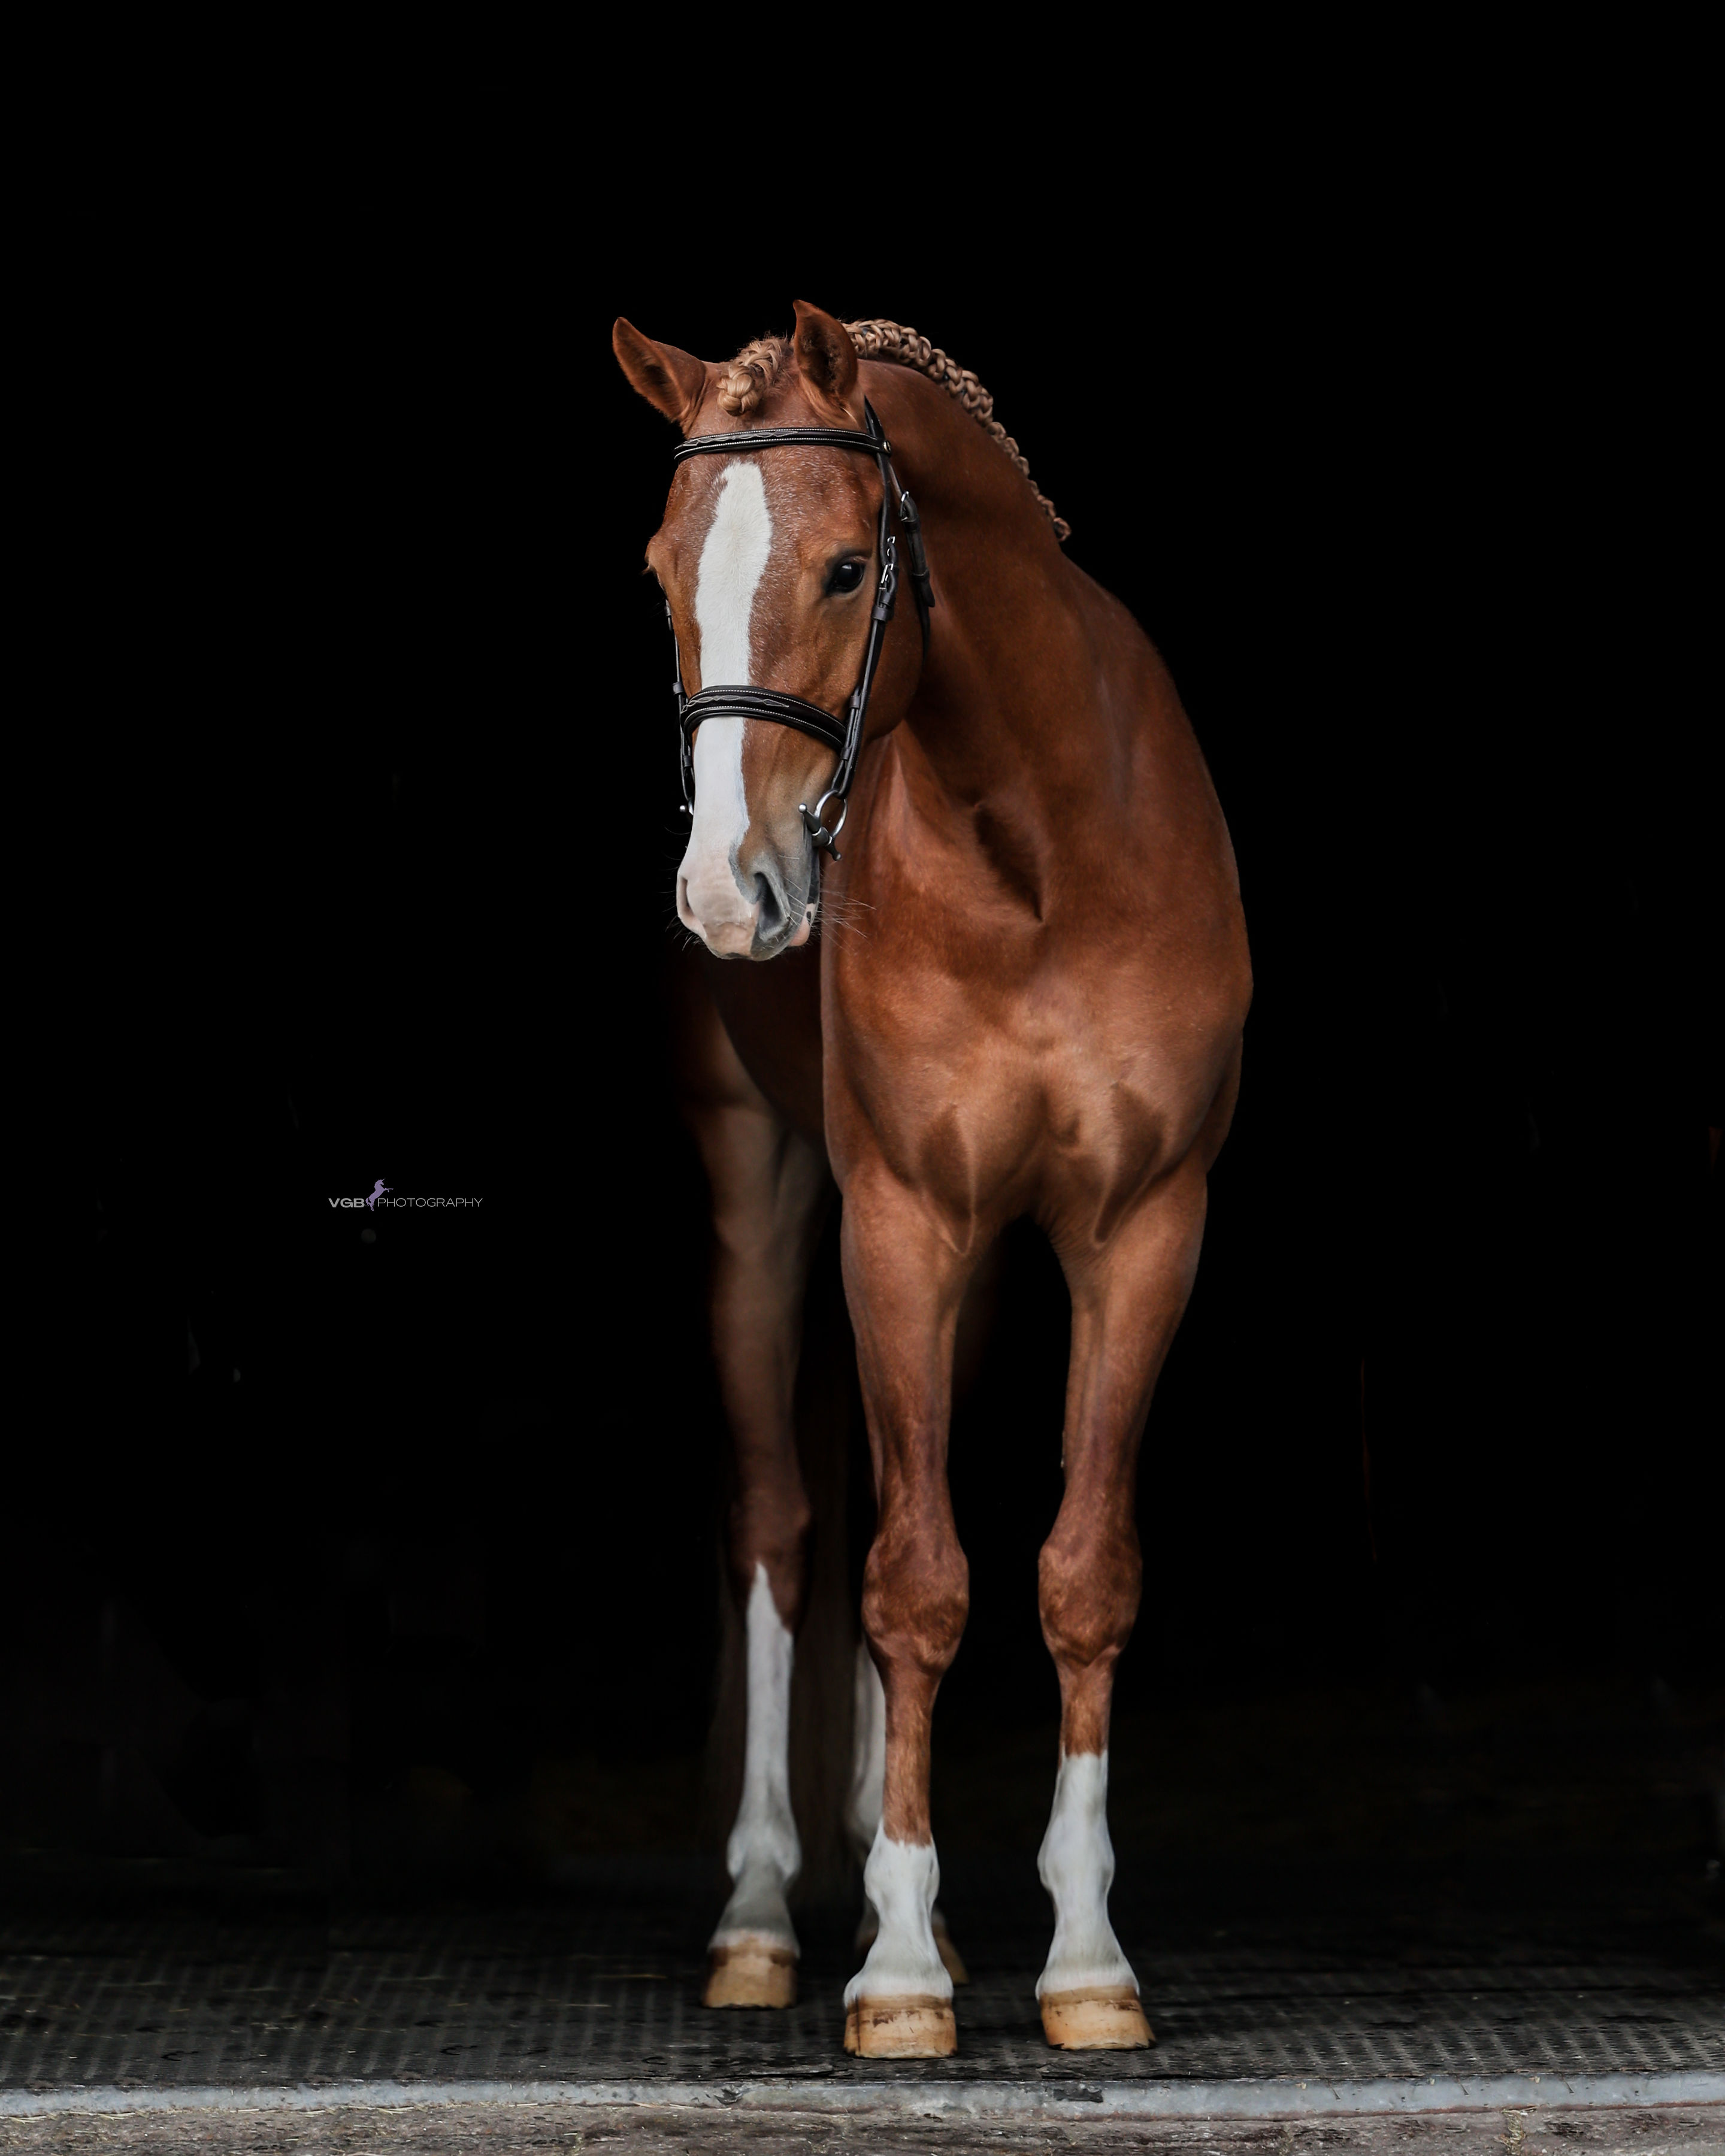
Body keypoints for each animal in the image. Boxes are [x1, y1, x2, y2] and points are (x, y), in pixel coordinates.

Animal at [613, 304, 1251, 2058]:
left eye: (847, 570)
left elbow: (1076, 1575)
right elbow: (909, 1583)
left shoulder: (1139, 1232)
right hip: (766, 1202)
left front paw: (1084, 1956)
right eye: (663, 567)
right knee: (778, 1525)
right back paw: (767, 1916)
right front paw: (892, 1967)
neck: (1038, 845)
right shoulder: (900, 1221)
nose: (729, 889)